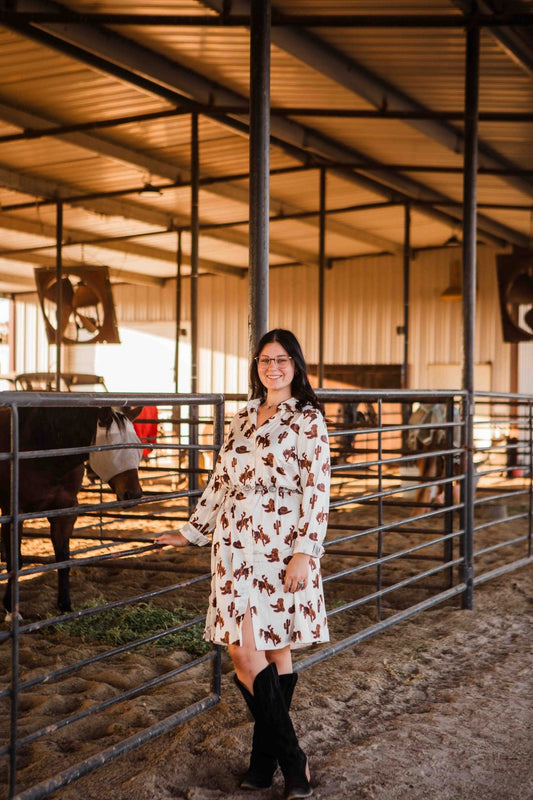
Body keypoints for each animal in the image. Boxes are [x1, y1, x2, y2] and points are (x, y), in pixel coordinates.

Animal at [0, 406, 142, 620]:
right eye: (114, 449)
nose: (133, 494)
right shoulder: (14, 514)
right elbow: (14, 562)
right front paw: (11, 611)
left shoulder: (65, 512)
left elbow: (63, 559)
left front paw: (65, 605)